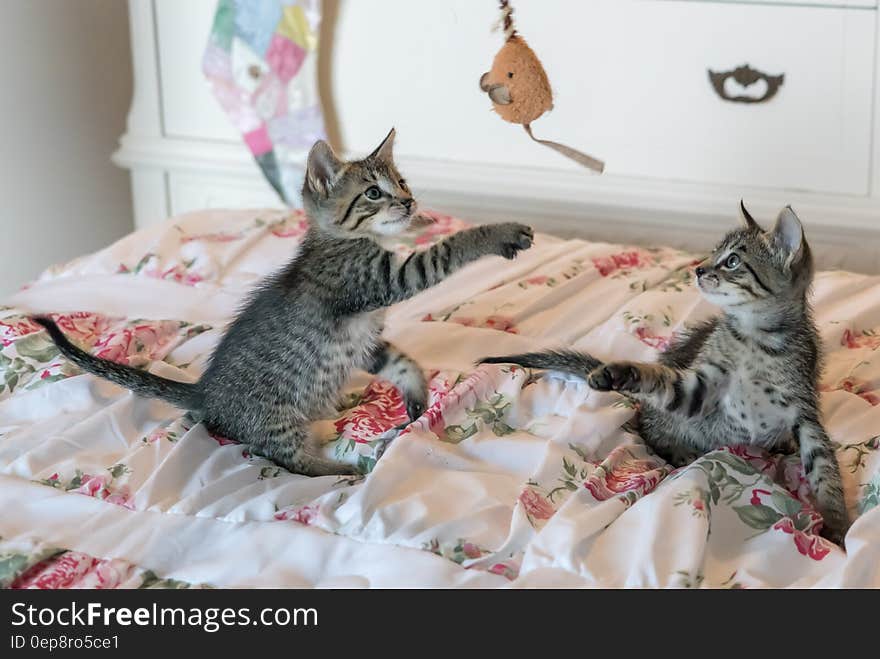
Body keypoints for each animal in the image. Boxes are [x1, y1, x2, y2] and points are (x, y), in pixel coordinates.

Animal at [36, 129, 536, 476]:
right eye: (374, 192)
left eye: (401, 181)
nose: (410, 202)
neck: (343, 240)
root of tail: (205, 392)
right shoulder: (381, 280)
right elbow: (448, 249)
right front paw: (500, 232)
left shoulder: (364, 340)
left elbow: (402, 362)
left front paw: (417, 395)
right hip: (277, 417)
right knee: (287, 460)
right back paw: (343, 470)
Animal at [484, 204, 848, 544]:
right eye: (714, 252)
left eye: (732, 261)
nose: (698, 268)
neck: (756, 339)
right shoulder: (700, 389)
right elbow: (660, 380)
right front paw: (616, 372)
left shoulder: (805, 412)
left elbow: (824, 470)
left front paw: (838, 525)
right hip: (669, 421)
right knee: (648, 425)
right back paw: (680, 450)